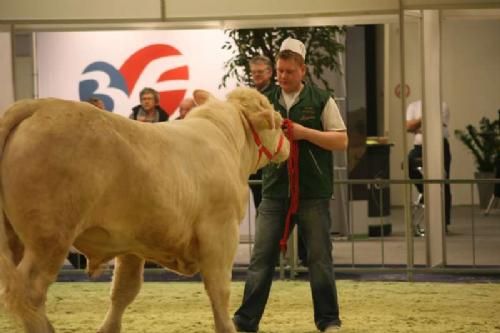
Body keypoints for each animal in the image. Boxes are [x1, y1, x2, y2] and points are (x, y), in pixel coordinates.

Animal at [0, 88, 290, 332]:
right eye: (276, 121)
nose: (288, 142)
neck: (227, 141)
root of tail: (37, 105)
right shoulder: (221, 233)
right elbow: (219, 290)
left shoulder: (132, 243)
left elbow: (123, 291)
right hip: (49, 237)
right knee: (28, 291)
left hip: (17, 238)